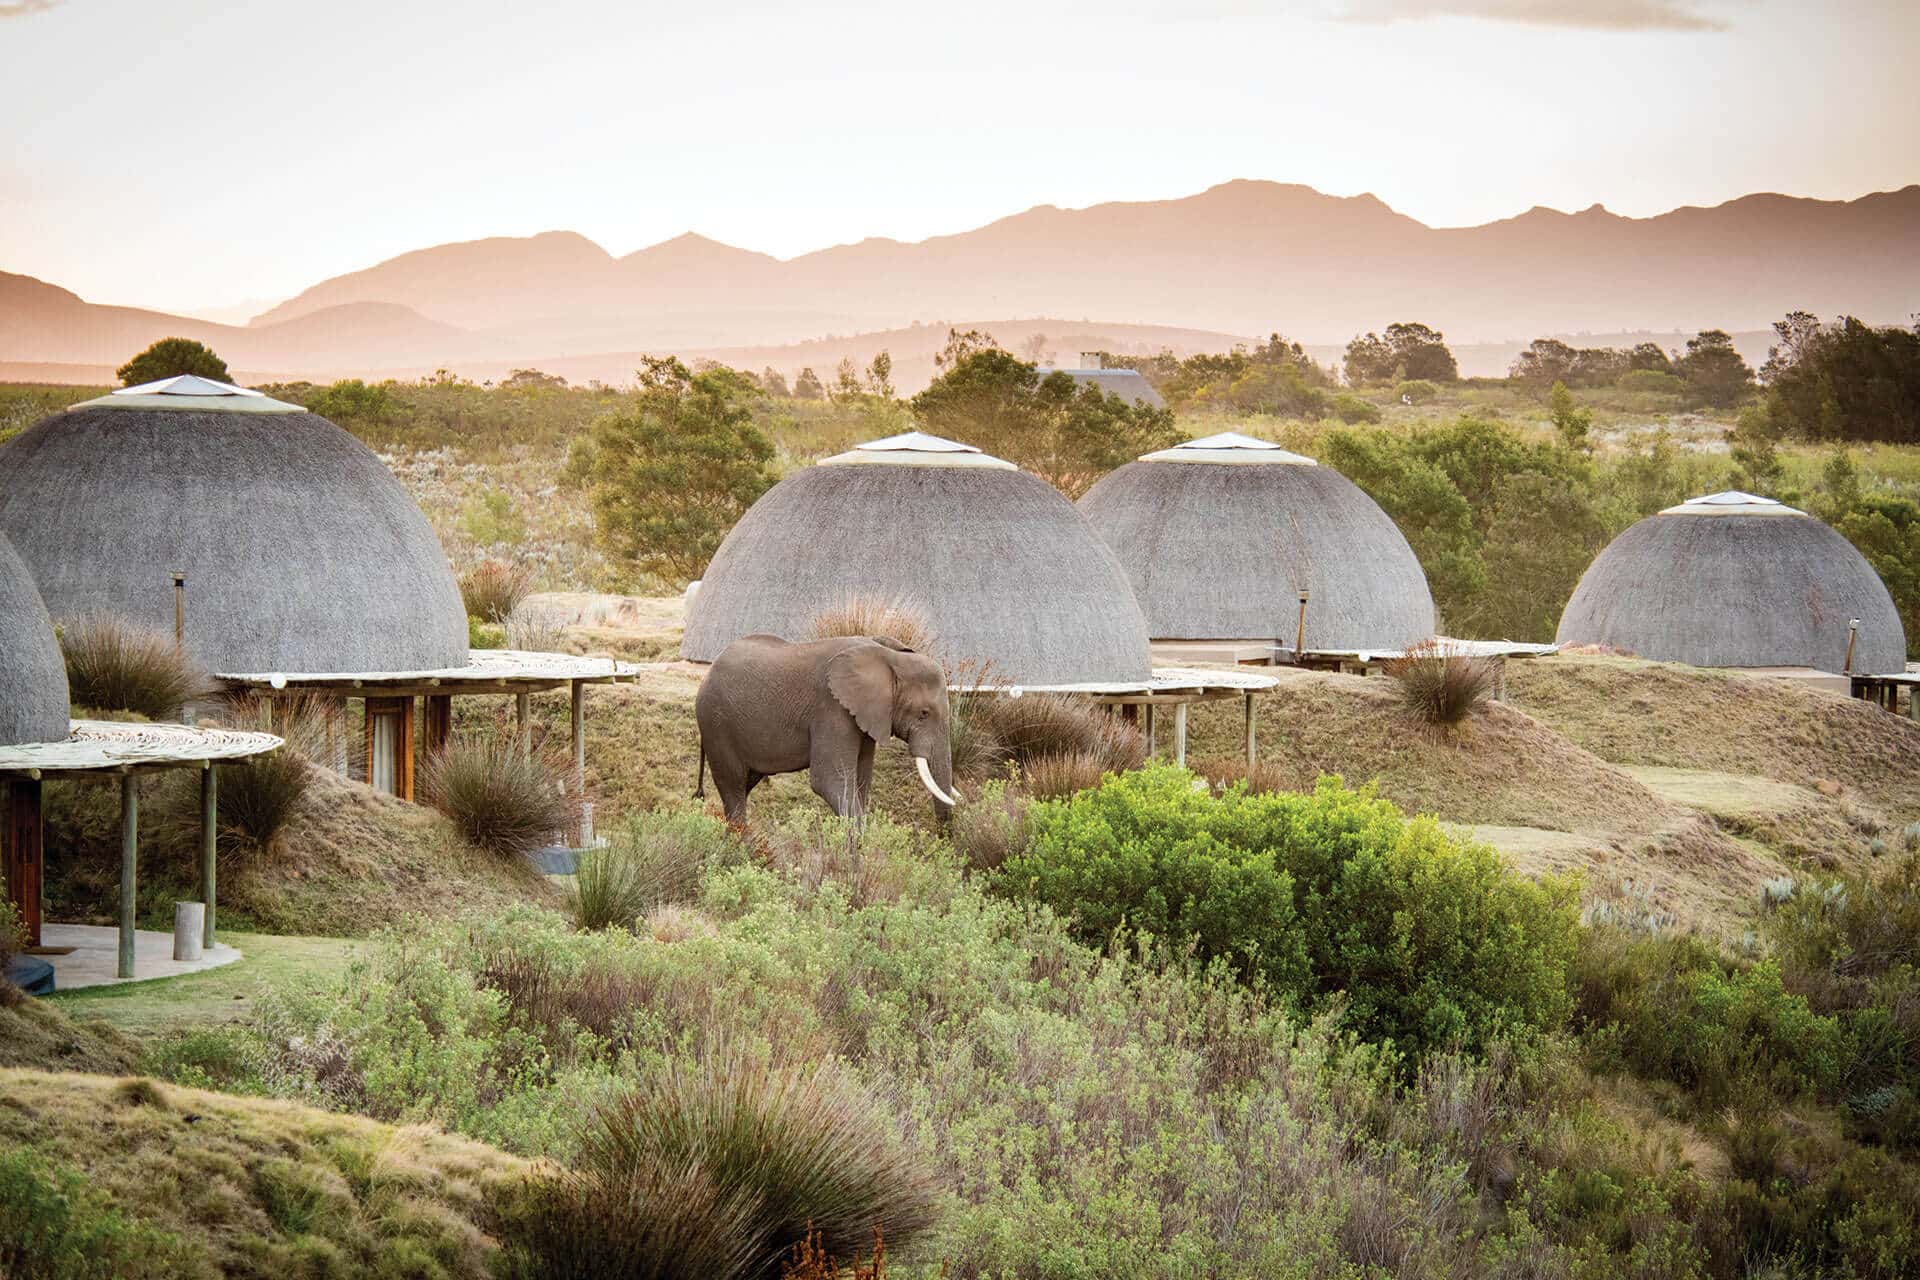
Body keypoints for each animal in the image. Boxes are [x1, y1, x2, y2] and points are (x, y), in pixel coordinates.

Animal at [694, 633, 959, 824]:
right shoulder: (832, 710)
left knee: (744, 786)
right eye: (924, 714)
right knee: (734, 786)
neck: (888, 656)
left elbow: (861, 782)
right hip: (716, 723)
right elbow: (829, 782)